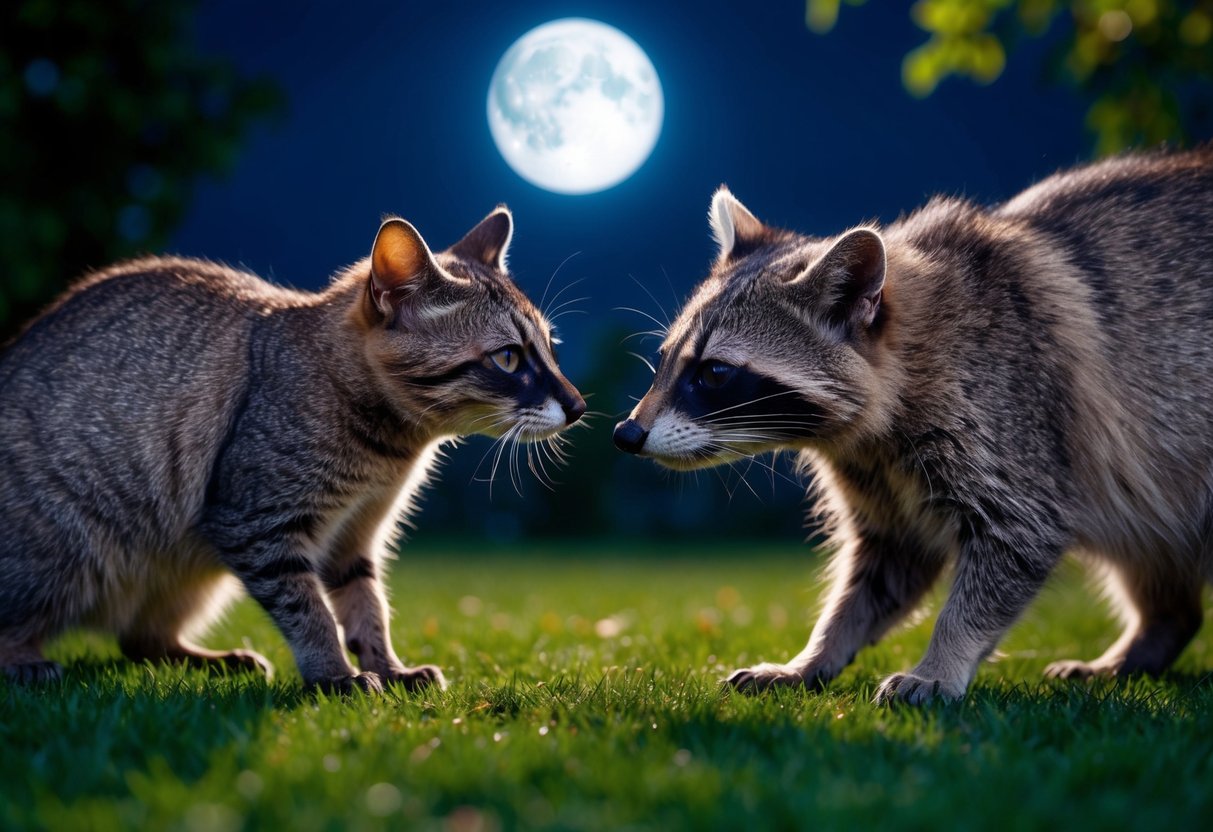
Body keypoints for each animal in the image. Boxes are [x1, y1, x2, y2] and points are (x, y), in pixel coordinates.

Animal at [0, 207, 585, 692]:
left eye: (552, 349)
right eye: (508, 358)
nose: (579, 405)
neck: (389, 451)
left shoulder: (355, 537)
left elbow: (368, 608)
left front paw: (389, 669)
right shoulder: (257, 526)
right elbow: (311, 612)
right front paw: (336, 677)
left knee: (141, 642)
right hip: (64, 556)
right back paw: (26, 663)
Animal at [614, 148, 1213, 703]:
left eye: (714, 372)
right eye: (664, 361)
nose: (626, 434)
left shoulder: (1012, 416)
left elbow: (1016, 538)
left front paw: (943, 660)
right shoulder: (876, 475)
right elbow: (883, 568)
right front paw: (816, 652)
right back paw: (1155, 631)